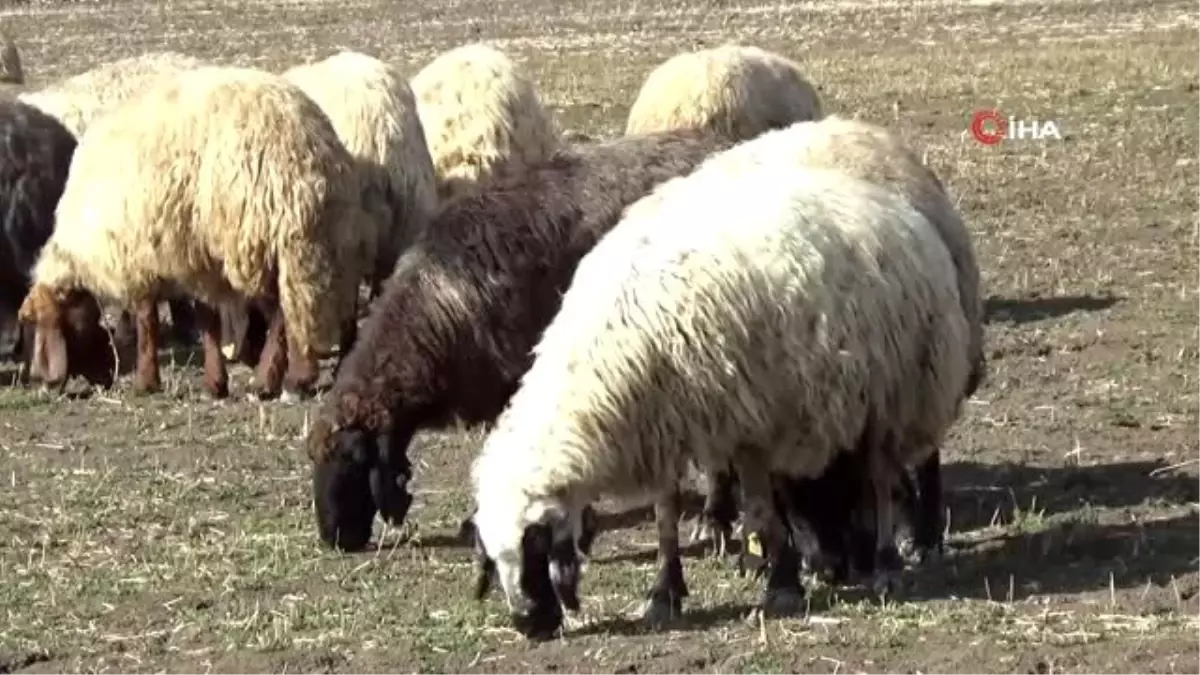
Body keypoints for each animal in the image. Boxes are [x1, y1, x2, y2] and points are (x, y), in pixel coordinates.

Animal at [15, 64, 369, 398]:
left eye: (37, 325)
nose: (40, 381)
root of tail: (305, 150)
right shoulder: (196, 258)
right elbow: (207, 319)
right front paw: (214, 383)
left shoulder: (140, 254)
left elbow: (147, 318)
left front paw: (146, 382)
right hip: (308, 240)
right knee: (299, 305)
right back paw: (293, 377)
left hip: (254, 239)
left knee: (282, 311)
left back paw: (274, 382)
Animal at [463, 162, 969, 634]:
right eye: (492, 555)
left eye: (536, 541)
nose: (528, 623)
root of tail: (894, 207)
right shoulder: (664, 425)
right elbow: (665, 517)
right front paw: (664, 593)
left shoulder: (747, 423)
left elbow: (762, 509)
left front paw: (782, 586)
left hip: (894, 391)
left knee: (882, 479)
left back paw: (885, 563)